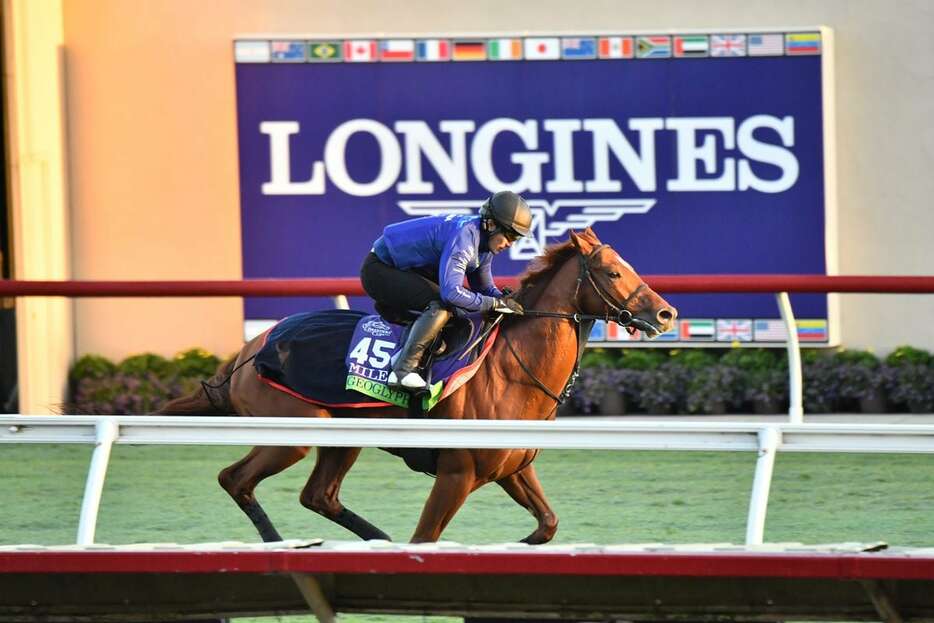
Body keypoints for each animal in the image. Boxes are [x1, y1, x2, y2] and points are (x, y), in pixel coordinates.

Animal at [157, 227, 676, 544]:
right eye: (613, 271)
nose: (666, 313)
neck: (510, 370)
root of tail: (248, 353)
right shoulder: (456, 474)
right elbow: (426, 537)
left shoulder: (512, 468)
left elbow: (548, 523)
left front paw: (521, 542)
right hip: (290, 434)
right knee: (236, 479)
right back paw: (279, 545)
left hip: (341, 438)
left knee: (318, 495)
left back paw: (375, 540)